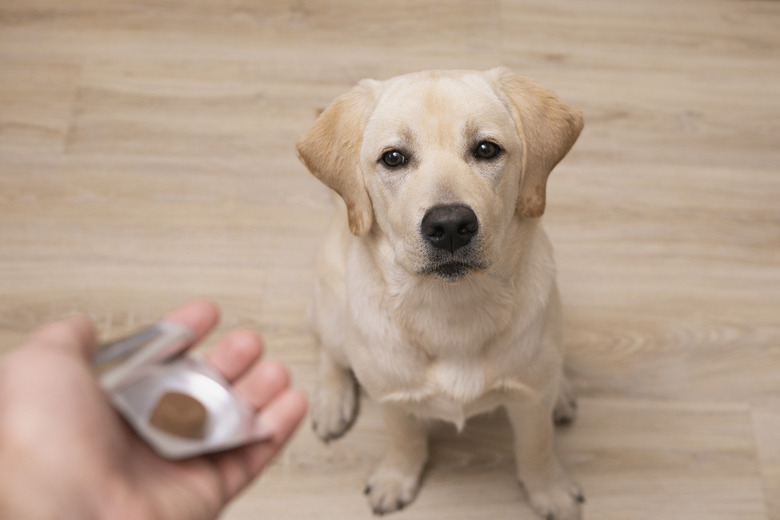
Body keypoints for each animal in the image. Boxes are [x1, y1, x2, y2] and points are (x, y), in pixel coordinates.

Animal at [296, 69, 580, 520]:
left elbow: (535, 446)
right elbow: (405, 441)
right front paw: (396, 477)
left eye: (486, 149)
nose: (449, 225)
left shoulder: (530, 401)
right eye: (393, 157)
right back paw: (330, 399)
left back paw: (563, 392)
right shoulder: (392, 399)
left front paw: (548, 489)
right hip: (332, 311)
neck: (453, 310)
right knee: (331, 351)